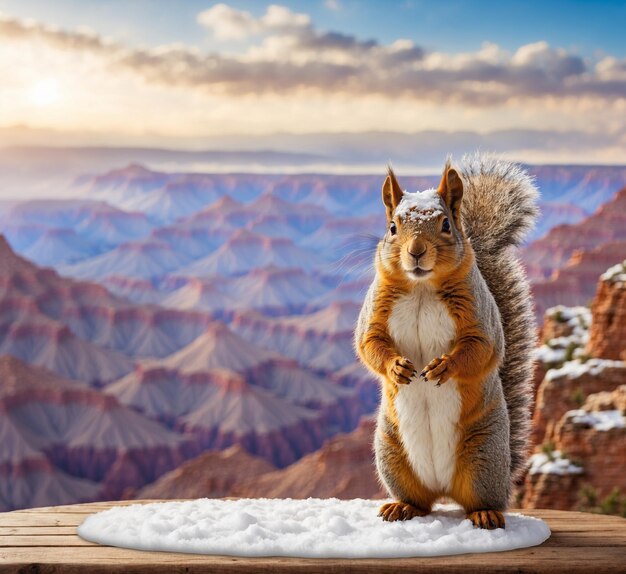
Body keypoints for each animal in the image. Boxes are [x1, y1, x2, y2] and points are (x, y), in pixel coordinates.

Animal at [356, 154, 536, 532]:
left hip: (482, 458)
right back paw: (401, 507)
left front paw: (443, 366)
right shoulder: (374, 311)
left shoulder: (479, 315)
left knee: (481, 499)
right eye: (392, 227)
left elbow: (481, 348)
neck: (421, 287)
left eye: (445, 225)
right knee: (419, 501)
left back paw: (485, 513)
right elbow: (369, 343)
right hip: (392, 454)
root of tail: (443, 488)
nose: (416, 251)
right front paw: (396, 367)